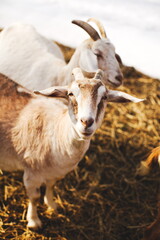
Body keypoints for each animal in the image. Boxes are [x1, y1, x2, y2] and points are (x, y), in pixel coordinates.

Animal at [0, 67, 142, 229]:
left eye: (104, 97)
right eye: (70, 94)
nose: (86, 122)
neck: (55, 131)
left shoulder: (56, 172)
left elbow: (51, 186)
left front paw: (52, 205)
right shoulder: (31, 172)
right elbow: (34, 197)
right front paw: (34, 221)